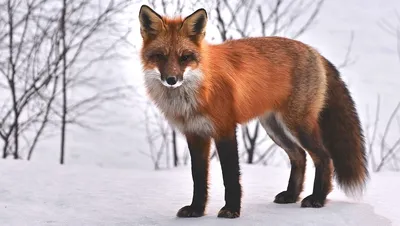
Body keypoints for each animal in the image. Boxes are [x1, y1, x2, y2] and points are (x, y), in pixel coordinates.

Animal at [138, 4, 368, 219]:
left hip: (297, 125)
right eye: (160, 56)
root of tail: (314, 51)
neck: (197, 90)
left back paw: (318, 198)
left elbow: (231, 176)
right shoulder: (195, 134)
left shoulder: (225, 129)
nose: (171, 80)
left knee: (324, 157)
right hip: (275, 128)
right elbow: (199, 178)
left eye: (185, 57)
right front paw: (196, 210)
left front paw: (231, 210)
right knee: (299, 156)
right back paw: (292, 195)